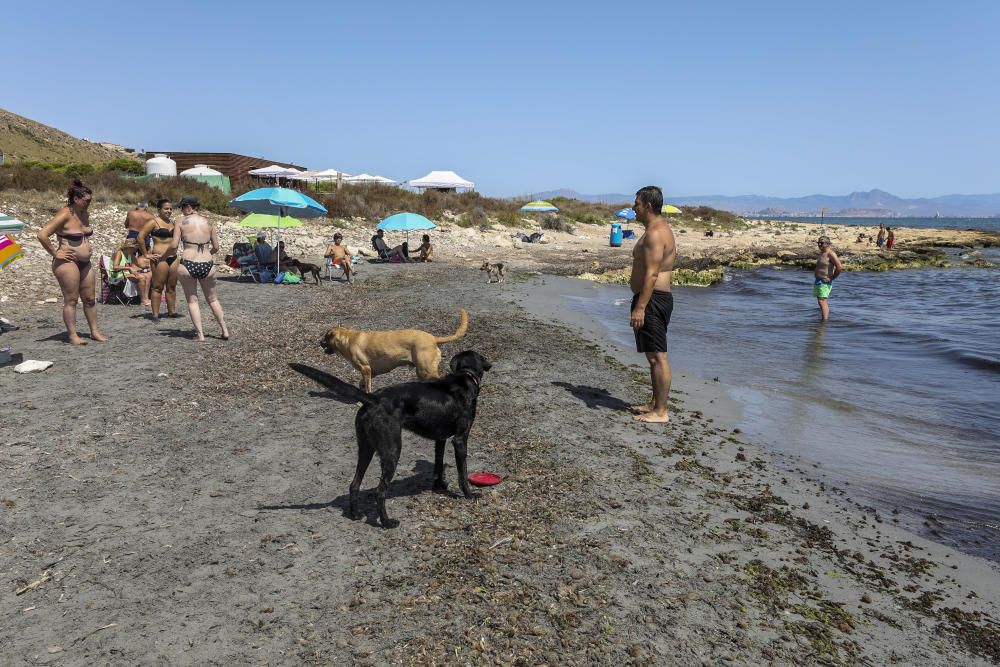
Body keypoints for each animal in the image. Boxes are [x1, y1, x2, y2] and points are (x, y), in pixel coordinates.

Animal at [290, 352, 492, 528]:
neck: (465, 376)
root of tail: (372, 399)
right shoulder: (460, 439)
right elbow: (462, 473)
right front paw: (469, 494)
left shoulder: (439, 439)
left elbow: (438, 465)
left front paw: (439, 486)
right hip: (392, 450)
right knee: (380, 491)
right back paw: (387, 523)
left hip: (366, 448)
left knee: (354, 484)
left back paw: (356, 515)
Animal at [324, 310, 472, 394]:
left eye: (325, 338)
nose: (319, 343)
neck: (347, 338)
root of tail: (433, 338)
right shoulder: (372, 372)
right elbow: (362, 383)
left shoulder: (366, 369)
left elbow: (367, 387)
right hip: (421, 371)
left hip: (426, 370)